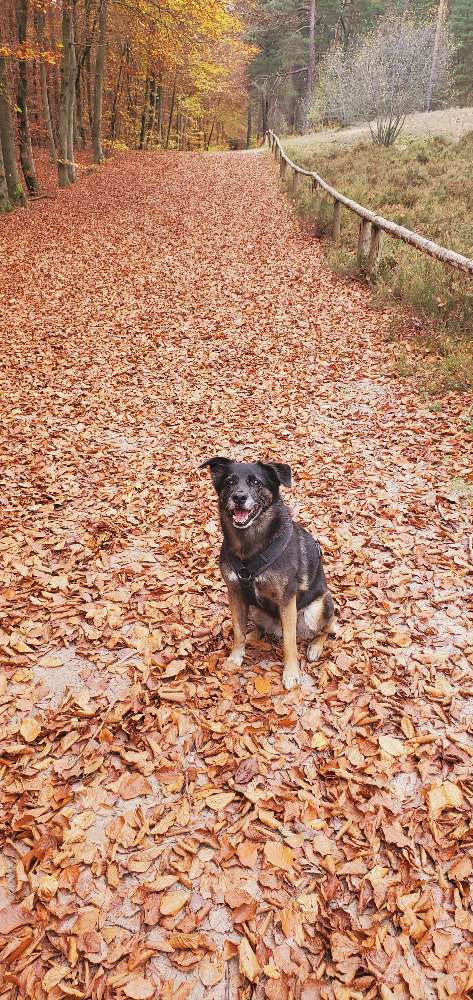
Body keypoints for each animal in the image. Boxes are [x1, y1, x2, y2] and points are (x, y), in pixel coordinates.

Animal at [199, 458, 336, 688]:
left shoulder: (286, 600)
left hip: (319, 606)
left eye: (256, 482)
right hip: (254, 607)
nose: (239, 497)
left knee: (326, 629)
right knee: (258, 627)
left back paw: (315, 646)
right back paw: (252, 636)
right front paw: (236, 656)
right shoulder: (235, 594)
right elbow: (238, 630)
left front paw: (291, 673)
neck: (249, 545)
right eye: (230, 481)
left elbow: (290, 642)